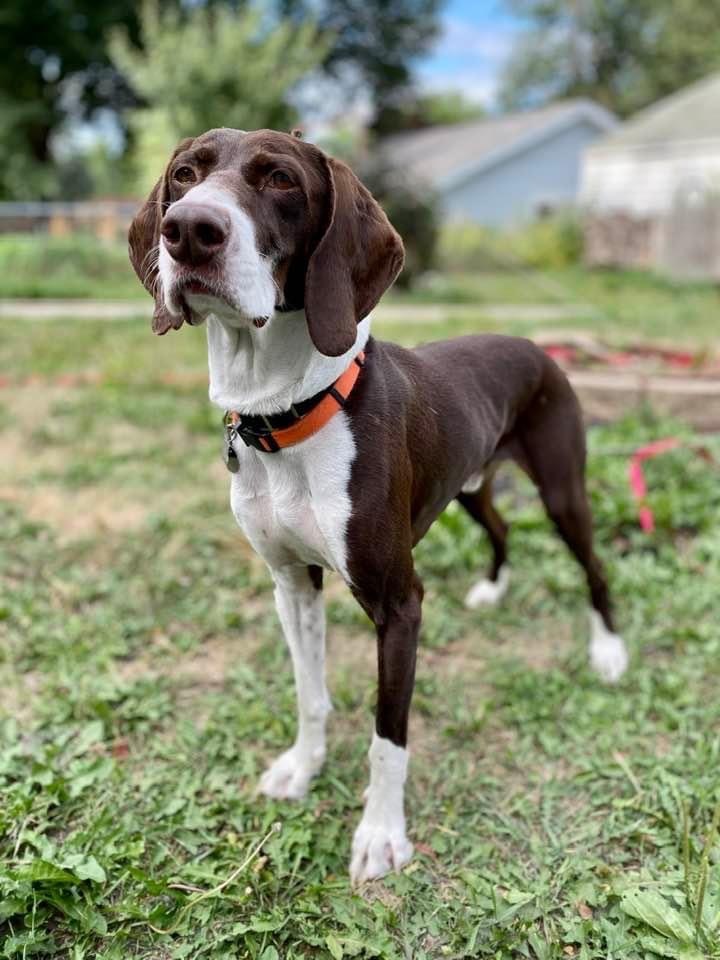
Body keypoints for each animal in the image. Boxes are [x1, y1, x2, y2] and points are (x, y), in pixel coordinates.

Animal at [129, 125, 632, 884]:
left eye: (281, 179)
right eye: (185, 174)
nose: (188, 229)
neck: (288, 413)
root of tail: (534, 343)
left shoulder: (400, 604)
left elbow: (386, 736)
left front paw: (381, 834)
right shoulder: (291, 582)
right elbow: (310, 694)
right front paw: (302, 768)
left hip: (562, 491)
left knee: (594, 567)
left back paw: (608, 650)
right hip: (469, 485)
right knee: (501, 528)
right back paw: (492, 589)